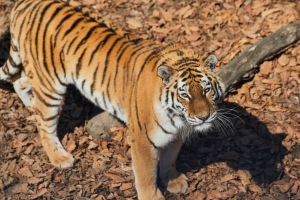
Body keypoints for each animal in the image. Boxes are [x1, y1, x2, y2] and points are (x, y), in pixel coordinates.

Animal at [0, 0, 225, 199]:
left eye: (207, 90)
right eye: (184, 94)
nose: (204, 117)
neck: (178, 118)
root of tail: (27, 3)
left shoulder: (177, 135)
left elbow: (170, 158)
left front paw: (173, 181)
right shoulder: (142, 139)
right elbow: (146, 175)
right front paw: (152, 196)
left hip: (37, 73)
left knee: (19, 80)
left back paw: (31, 104)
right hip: (50, 84)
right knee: (44, 122)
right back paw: (60, 157)